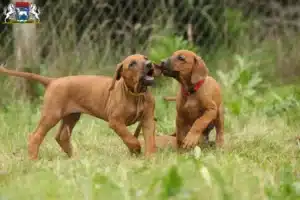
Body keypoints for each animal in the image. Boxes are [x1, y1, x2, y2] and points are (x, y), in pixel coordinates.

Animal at [0, 54, 158, 159]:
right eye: (132, 64)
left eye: (145, 58)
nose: (149, 64)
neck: (136, 94)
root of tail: (52, 81)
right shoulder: (116, 121)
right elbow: (129, 137)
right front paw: (136, 148)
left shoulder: (148, 121)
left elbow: (150, 140)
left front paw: (150, 159)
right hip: (52, 115)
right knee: (35, 136)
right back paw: (33, 159)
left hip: (71, 116)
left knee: (61, 136)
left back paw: (73, 157)